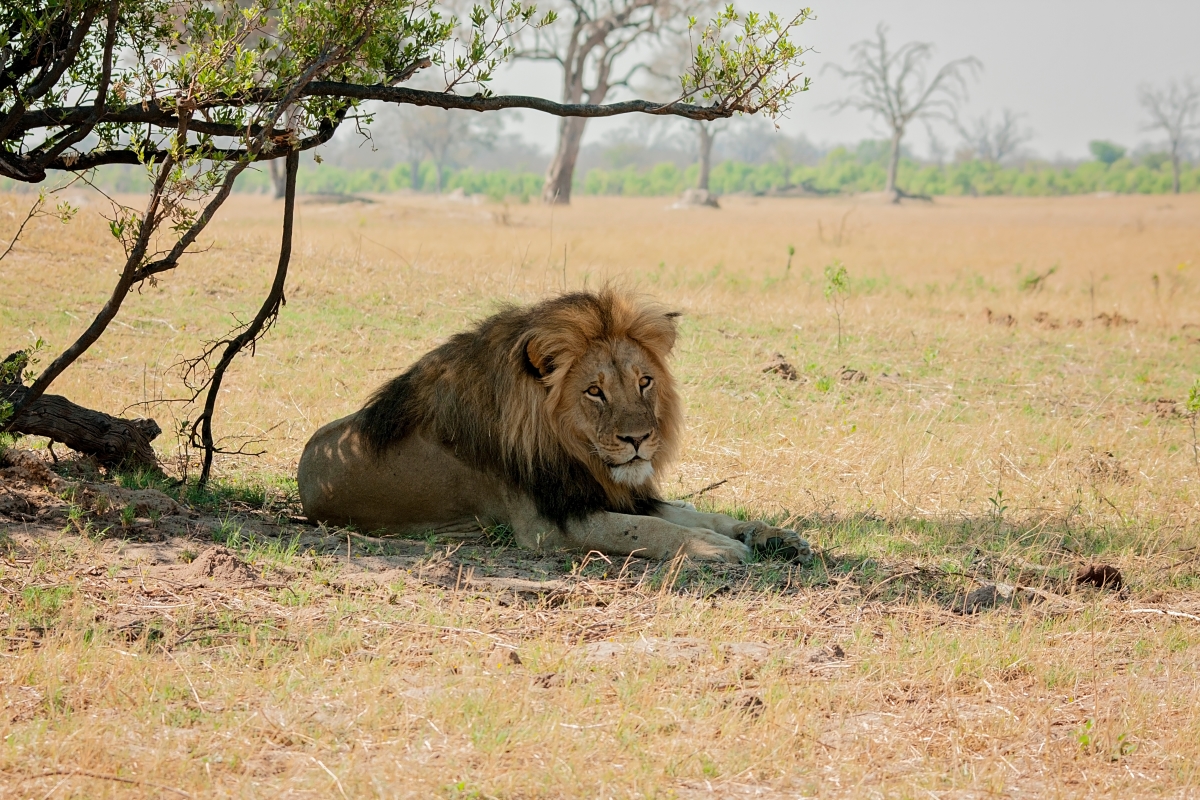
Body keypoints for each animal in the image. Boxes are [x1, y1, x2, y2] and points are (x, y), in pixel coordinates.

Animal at [295, 291, 811, 566]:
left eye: (643, 381)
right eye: (594, 391)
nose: (639, 440)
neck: (574, 452)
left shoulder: (606, 492)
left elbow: (695, 514)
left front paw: (772, 536)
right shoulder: (547, 525)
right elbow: (645, 530)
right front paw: (715, 547)